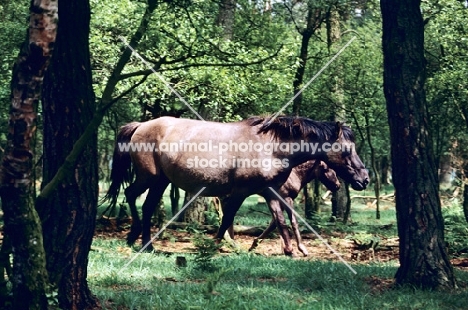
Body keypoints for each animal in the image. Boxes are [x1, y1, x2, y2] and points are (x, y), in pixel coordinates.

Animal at [103, 115, 370, 253]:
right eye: (346, 150)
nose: (364, 179)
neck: (271, 147)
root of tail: (140, 125)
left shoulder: (270, 192)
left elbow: (281, 221)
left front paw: (289, 250)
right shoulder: (241, 192)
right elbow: (228, 219)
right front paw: (216, 246)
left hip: (160, 181)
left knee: (145, 204)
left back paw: (142, 242)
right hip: (150, 178)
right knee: (134, 197)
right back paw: (139, 240)